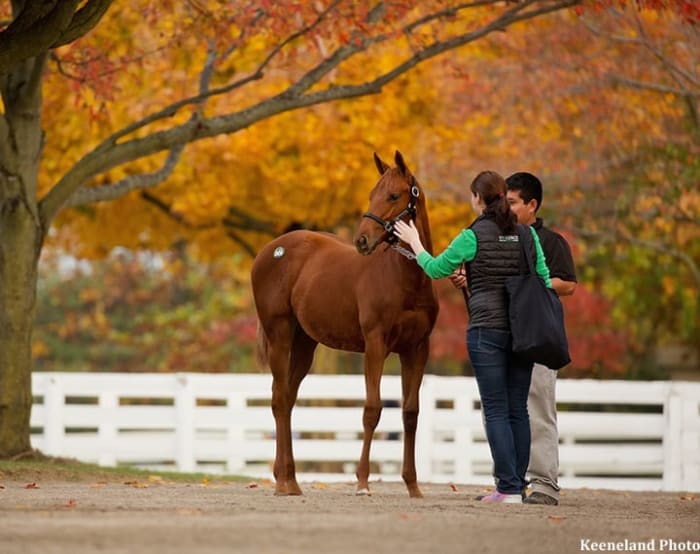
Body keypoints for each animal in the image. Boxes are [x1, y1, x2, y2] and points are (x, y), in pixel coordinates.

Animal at [252, 150, 438, 496]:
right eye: (371, 194)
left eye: (393, 195)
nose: (362, 240)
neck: (405, 278)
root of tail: (271, 250)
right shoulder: (376, 345)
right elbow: (372, 410)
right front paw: (363, 481)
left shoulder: (417, 349)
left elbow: (410, 413)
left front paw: (413, 486)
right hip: (279, 334)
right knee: (280, 399)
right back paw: (283, 482)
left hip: (304, 343)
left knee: (288, 399)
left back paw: (292, 480)